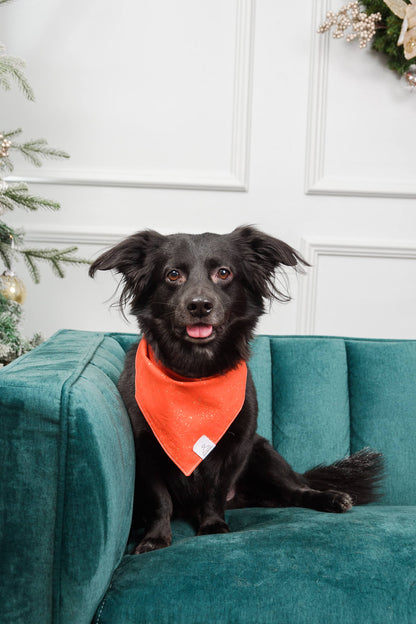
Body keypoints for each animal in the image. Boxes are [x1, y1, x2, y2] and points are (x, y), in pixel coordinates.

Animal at [90, 227, 384, 552]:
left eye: (223, 273)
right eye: (173, 274)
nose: (200, 305)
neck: (196, 374)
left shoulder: (239, 445)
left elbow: (215, 491)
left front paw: (212, 526)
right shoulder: (145, 450)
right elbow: (160, 500)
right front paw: (155, 537)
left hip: (265, 454)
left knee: (297, 490)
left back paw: (330, 498)